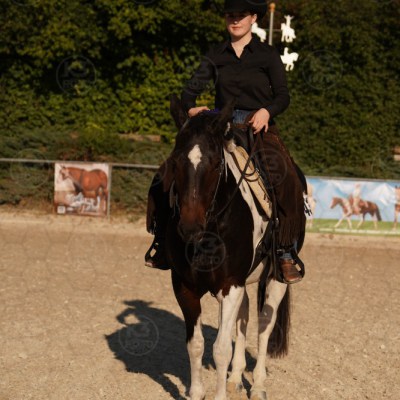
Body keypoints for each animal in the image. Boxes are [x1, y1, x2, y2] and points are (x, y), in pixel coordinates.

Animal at [155, 96, 305, 400]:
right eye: (176, 162)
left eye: (215, 164)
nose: (189, 227)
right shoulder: (185, 287)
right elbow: (196, 344)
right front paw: (196, 393)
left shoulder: (229, 285)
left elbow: (220, 348)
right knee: (244, 319)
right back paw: (236, 378)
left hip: (276, 279)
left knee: (264, 325)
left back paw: (257, 386)